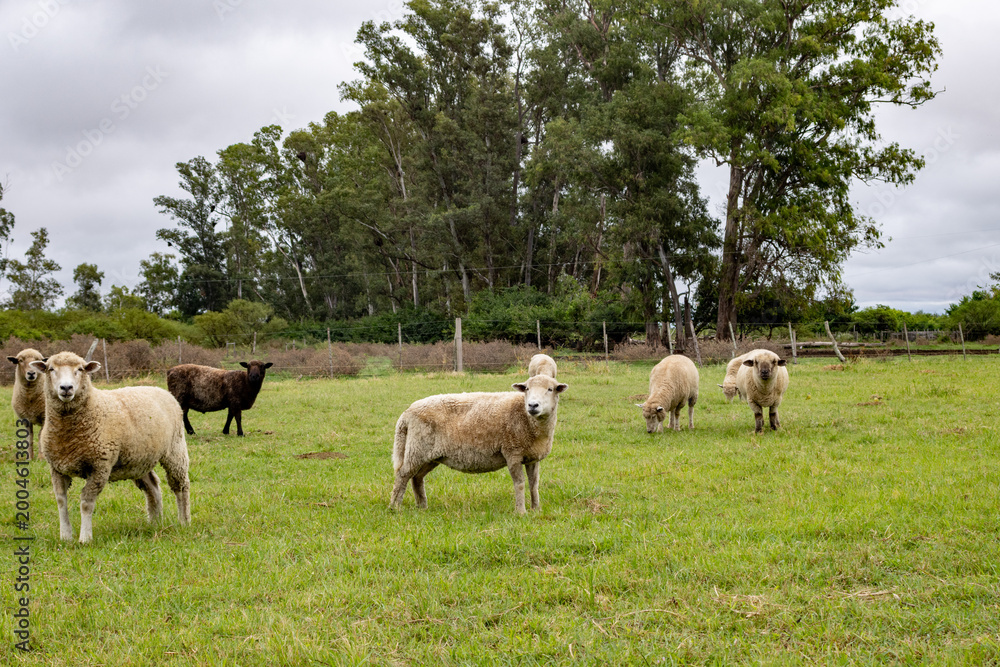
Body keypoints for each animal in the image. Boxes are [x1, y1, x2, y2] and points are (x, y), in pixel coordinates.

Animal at [29, 352, 190, 543]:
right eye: (51, 369)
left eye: (80, 369)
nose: (66, 388)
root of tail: (160, 390)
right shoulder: (56, 467)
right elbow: (61, 501)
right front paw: (65, 536)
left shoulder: (100, 466)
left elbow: (86, 503)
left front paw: (85, 538)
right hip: (138, 460)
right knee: (152, 487)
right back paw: (155, 523)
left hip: (175, 449)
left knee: (180, 486)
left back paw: (184, 521)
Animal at [390, 374, 568, 515]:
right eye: (527, 389)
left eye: (550, 389)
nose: (532, 405)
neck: (527, 419)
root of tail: (406, 414)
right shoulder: (512, 453)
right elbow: (520, 484)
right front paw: (521, 512)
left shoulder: (532, 457)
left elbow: (533, 484)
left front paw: (536, 509)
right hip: (417, 449)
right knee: (403, 475)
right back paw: (395, 507)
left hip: (430, 455)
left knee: (417, 477)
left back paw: (422, 506)